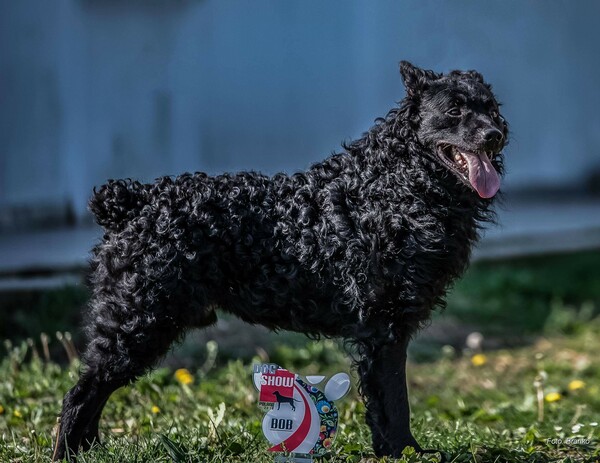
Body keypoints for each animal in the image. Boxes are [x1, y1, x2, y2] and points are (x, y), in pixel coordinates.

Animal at [55, 62, 506, 460]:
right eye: (454, 111)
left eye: (491, 108)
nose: (494, 134)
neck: (392, 186)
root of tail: (136, 200)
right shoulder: (386, 331)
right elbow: (395, 405)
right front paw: (405, 453)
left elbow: (385, 409)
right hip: (137, 323)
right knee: (80, 396)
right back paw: (68, 454)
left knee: (91, 398)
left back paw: (90, 453)